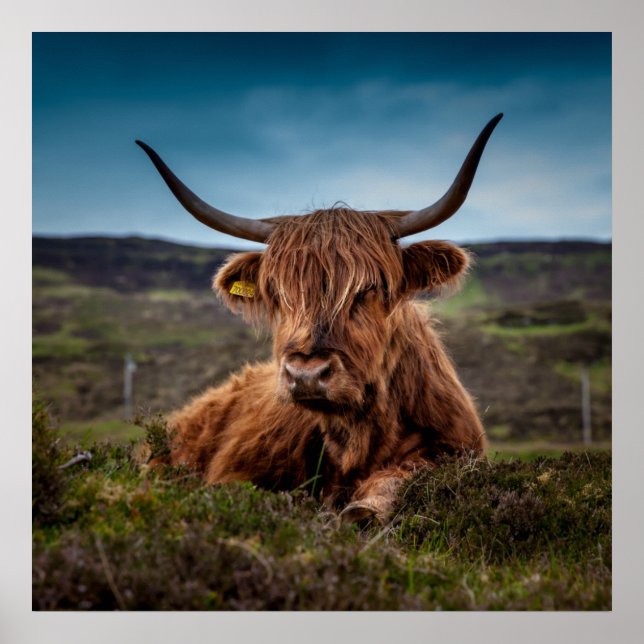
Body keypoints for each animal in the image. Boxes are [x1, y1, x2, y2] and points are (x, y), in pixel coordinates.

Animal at [136, 113, 502, 524]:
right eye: (278, 293)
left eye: (370, 288)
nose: (306, 374)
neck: (358, 438)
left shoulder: (455, 449)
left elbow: (403, 476)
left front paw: (364, 508)